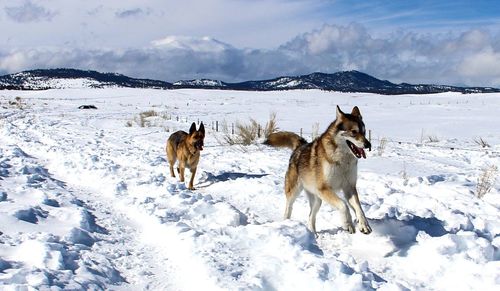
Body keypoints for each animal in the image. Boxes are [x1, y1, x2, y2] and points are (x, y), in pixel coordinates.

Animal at [266, 106, 372, 235]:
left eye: (364, 132)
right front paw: (348, 224)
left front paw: (364, 225)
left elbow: (359, 208)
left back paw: (313, 234)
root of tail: (300, 146)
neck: (342, 161)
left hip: (317, 200)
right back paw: (287, 222)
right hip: (294, 192)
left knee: (311, 216)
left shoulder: (349, 187)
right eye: (354, 132)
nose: (368, 145)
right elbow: (343, 205)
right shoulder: (324, 189)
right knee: (288, 208)